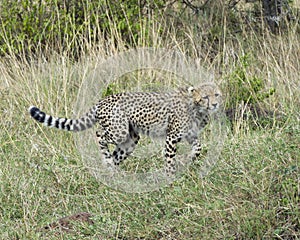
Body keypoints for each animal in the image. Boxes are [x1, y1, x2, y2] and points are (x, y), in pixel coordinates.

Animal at [28, 82, 220, 176]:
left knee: (117, 154)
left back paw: (113, 170)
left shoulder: (190, 135)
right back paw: (106, 160)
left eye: (216, 94)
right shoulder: (172, 137)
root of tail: (104, 99)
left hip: (130, 139)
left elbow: (198, 147)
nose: (215, 104)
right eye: (205, 97)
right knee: (99, 135)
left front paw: (190, 159)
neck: (198, 109)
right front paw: (171, 175)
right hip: (118, 131)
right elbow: (170, 158)